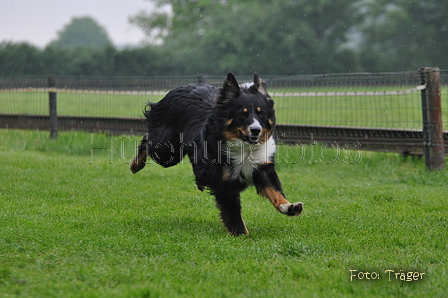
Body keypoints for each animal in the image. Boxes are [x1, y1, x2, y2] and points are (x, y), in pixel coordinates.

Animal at [130, 72, 304, 235]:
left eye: (261, 113)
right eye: (242, 113)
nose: (256, 130)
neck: (243, 148)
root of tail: (178, 88)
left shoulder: (262, 167)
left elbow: (275, 191)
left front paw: (289, 207)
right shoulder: (224, 182)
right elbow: (233, 213)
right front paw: (241, 234)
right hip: (167, 152)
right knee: (148, 140)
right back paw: (135, 165)